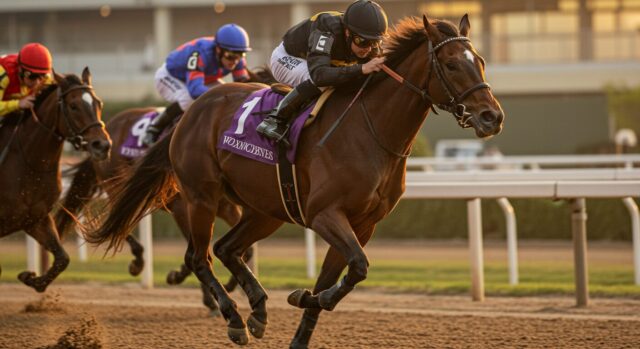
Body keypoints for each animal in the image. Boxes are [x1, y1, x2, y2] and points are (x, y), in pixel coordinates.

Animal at [0, 68, 110, 290]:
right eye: (73, 106)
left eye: (99, 103)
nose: (102, 145)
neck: (29, 162)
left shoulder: (35, 218)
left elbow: (62, 258)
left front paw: (31, 278)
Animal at [55, 66, 276, 314]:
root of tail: (109, 128)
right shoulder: (185, 207)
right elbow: (197, 253)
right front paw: (185, 281)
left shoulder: (224, 206)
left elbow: (242, 249)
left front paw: (228, 285)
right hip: (114, 183)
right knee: (118, 217)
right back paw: (137, 261)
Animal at [86, 15, 504, 348]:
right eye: (451, 64)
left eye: (482, 62)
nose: (492, 117)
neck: (370, 131)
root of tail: (193, 112)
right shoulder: (324, 214)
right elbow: (358, 268)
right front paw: (299, 297)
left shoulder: (362, 224)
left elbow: (337, 279)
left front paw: (302, 307)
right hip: (199, 196)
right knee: (199, 256)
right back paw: (234, 319)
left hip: (266, 209)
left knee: (226, 248)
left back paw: (257, 309)